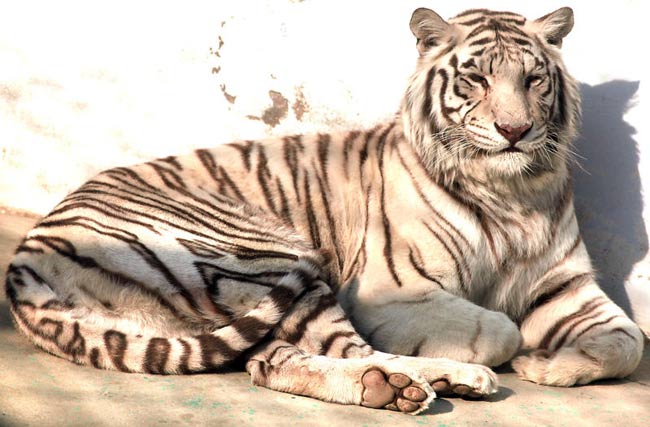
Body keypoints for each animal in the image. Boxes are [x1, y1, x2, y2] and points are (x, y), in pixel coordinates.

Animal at [5, 6, 645, 415]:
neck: (510, 193)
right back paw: (428, 381)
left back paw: (394, 386)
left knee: (273, 362)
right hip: (265, 255)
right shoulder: (396, 290)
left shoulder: (565, 286)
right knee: (339, 348)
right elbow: (501, 328)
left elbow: (628, 340)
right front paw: (526, 357)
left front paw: (554, 367)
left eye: (533, 80)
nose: (515, 131)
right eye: (476, 79)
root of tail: (25, 260)